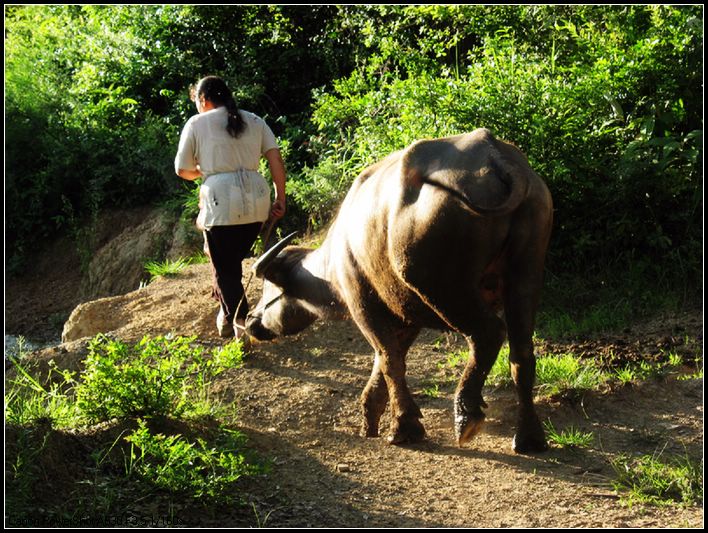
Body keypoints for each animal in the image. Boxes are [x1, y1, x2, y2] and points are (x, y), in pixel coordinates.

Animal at [248, 127, 552, 450]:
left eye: (268, 288)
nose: (251, 320)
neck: (336, 259)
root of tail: (494, 156)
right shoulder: (407, 317)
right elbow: (386, 361)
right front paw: (371, 417)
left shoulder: (364, 309)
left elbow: (389, 360)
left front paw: (404, 426)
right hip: (525, 275)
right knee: (521, 352)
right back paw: (529, 437)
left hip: (443, 289)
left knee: (488, 333)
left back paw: (466, 415)